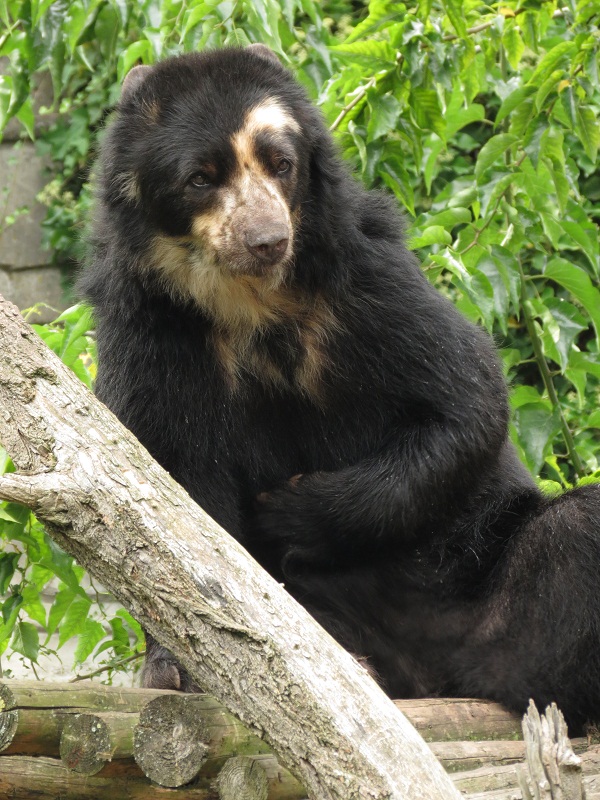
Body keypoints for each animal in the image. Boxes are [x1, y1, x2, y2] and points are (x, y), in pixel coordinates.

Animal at [80, 45, 600, 732]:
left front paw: (290, 509)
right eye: (200, 178)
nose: (268, 240)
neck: (248, 299)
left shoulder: (364, 279)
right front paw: (178, 667)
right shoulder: (148, 326)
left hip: (478, 560)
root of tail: (435, 676)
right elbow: (161, 500)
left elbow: (466, 402)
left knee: (577, 531)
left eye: (281, 163)